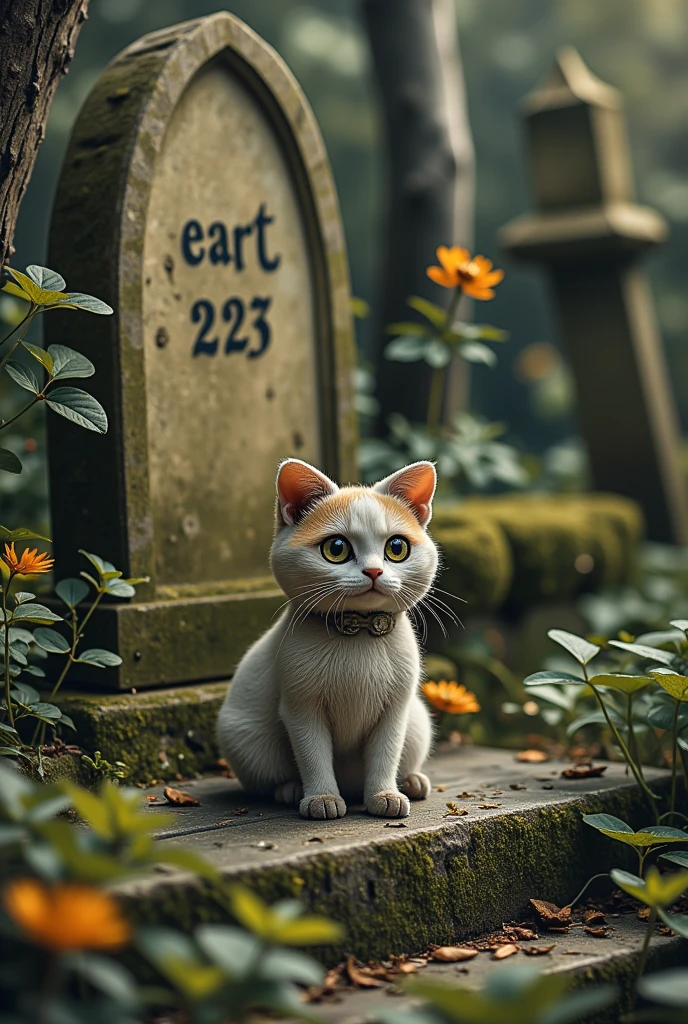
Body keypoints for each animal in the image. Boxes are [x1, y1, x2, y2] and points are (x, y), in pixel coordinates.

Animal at [218, 460, 438, 819]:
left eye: (397, 548)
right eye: (336, 548)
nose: (374, 572)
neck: (358, 632)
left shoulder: (396, 708)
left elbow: (386, 752)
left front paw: (385, 794)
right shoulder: (301, 707)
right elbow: (312, 754)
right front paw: (321, 797)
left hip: (417, 723)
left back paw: (411, 780)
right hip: (245, 738)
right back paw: (290, 789)